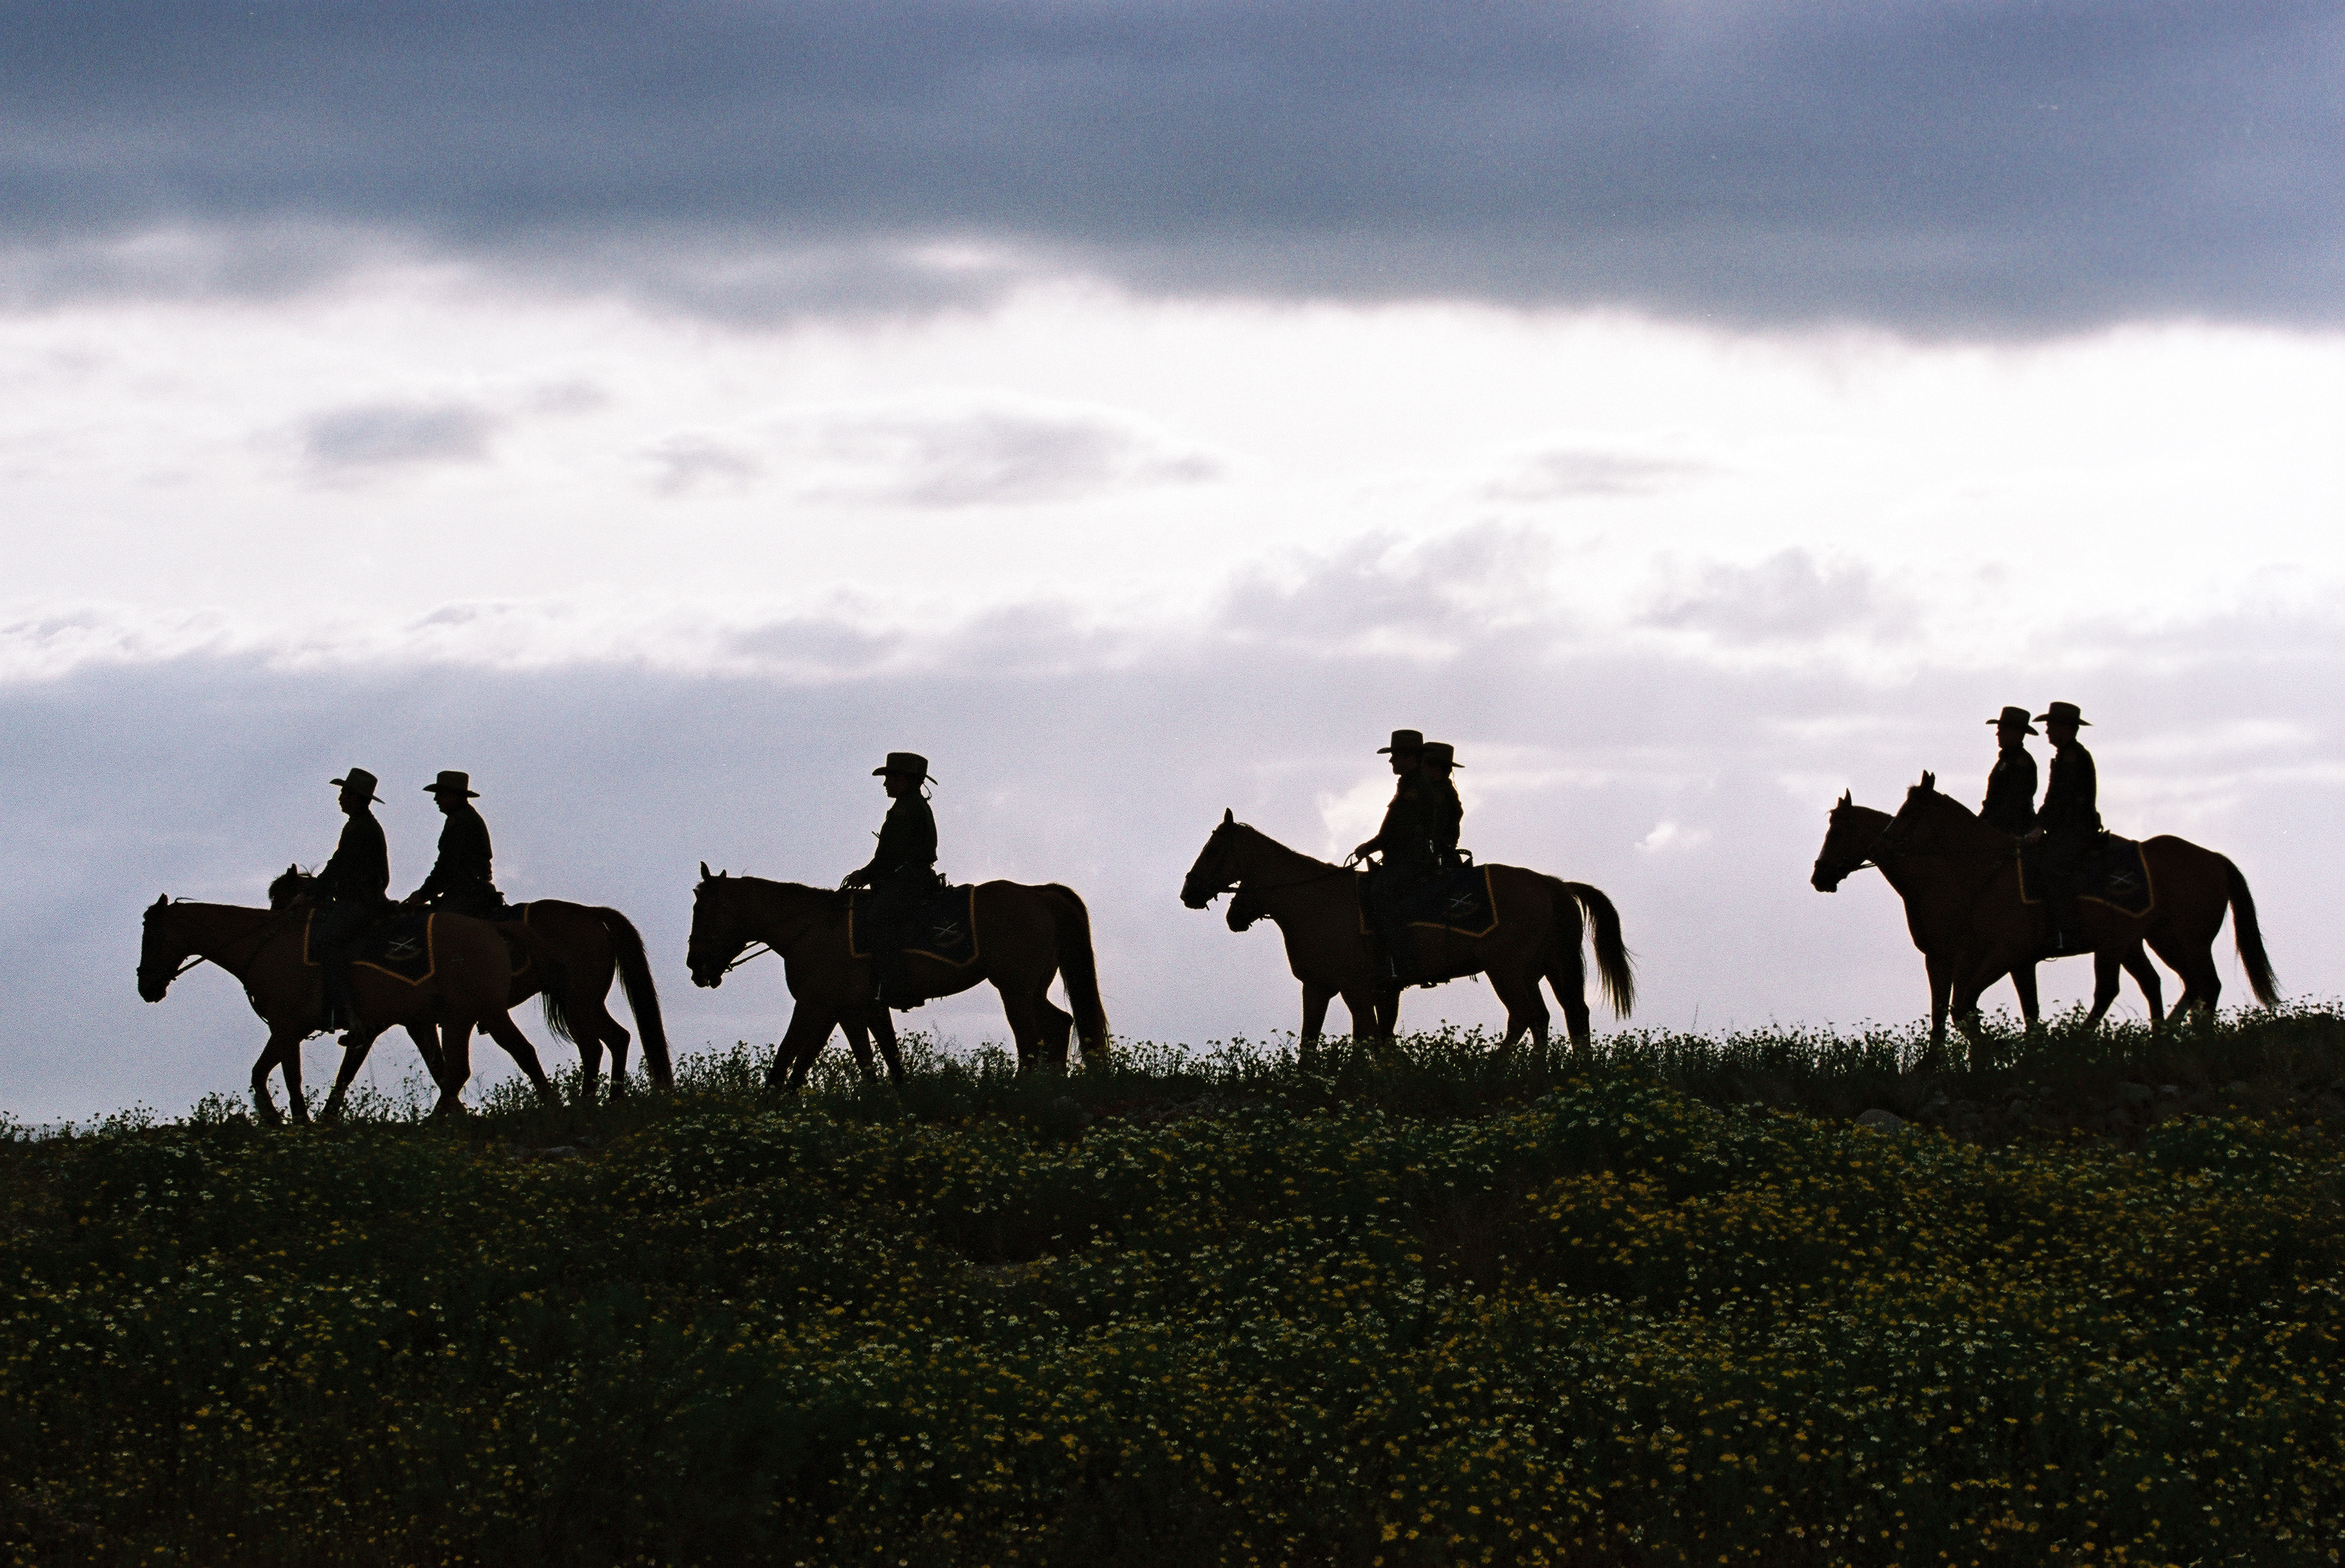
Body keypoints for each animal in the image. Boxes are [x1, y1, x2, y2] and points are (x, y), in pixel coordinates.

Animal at [685, 862, 1106, 1097]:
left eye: (703, 910)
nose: (695, 967)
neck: (811, 927)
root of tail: (1040, 893)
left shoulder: (814, 1004)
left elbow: (790, 1055)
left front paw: (771, 1103)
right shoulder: (852, 1009)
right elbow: (874, 1057)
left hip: (1014, 989)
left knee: (1029, 1039)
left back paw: (1027, 1088)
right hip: (1032, 987)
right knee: (1059, 1023)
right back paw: (1056, 1084)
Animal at [1172, 816, 1632, 1059]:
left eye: (1213, 850)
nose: (1188, 892)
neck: (1314, 900)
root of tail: (1554, 884)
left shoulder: (1353, 988)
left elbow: (1364, 1036)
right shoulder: (1327, 987)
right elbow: (1321, 1039)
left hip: (1509, 972)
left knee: (1531, 1017)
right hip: (1552, 969)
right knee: (1572, 1014)